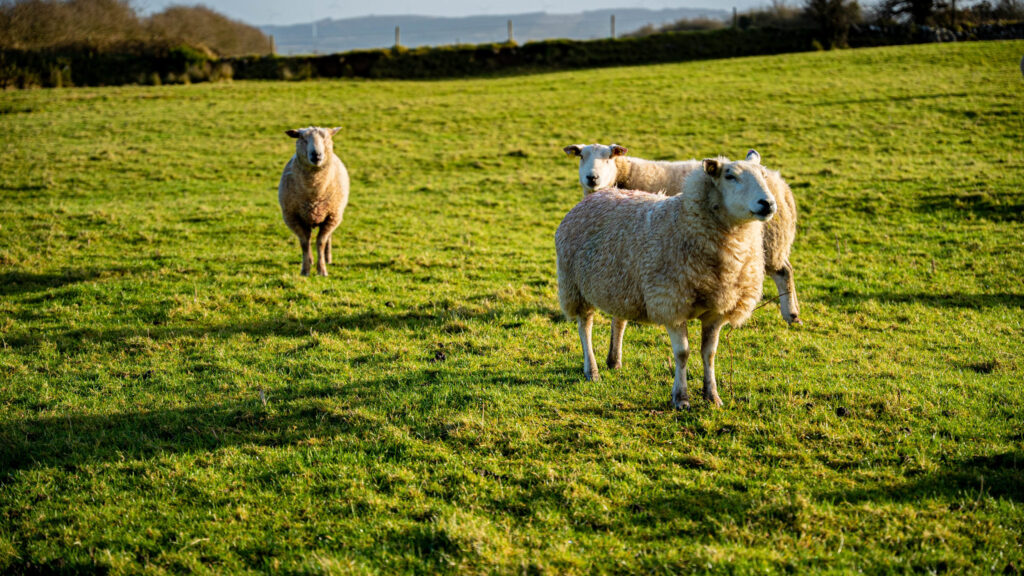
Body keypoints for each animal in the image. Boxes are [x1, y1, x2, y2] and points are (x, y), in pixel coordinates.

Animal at [278, 126, 350, 277]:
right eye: (303, 138)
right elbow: (305, 243)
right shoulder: (293, 217)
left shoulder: (332, 216)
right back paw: (311, 260)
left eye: (326, 138)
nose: (316, 155)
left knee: (327, 238)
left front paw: (322, 269)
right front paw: (305, 270)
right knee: (309, 238)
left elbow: (321, 242)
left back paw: (328, 258)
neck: (314, 192)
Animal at [555, 154, 776, 409]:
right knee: (585, 327)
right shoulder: (671, 302)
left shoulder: (717, 309)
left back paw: (614, 361)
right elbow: (682, 353)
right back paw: (592, 370)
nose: (767, 203)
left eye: (764, 175)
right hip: (574, 286)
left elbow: (709, 353)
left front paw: (712, 396)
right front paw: (681, 398)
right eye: (730, 176)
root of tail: (594, 196)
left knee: (618, 321)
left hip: (621, 284)